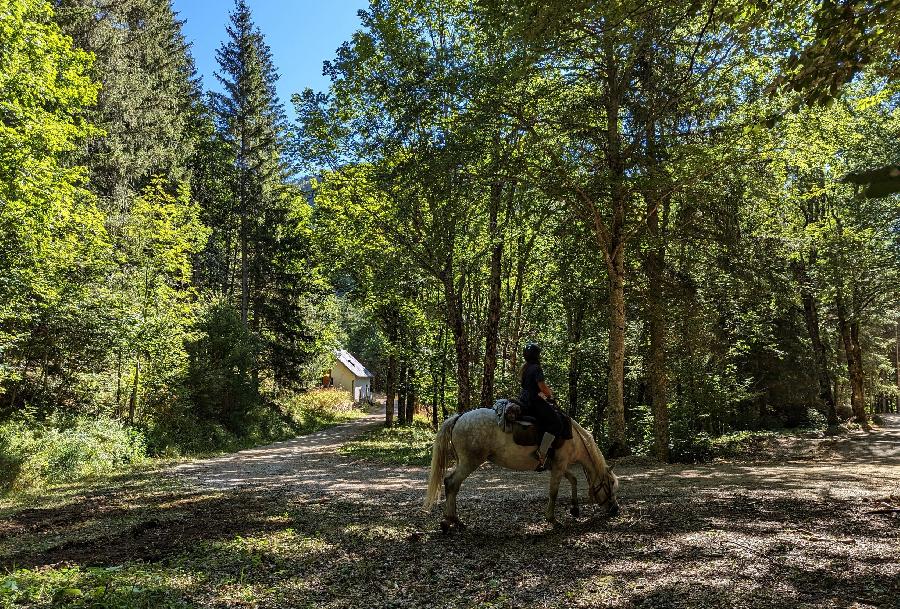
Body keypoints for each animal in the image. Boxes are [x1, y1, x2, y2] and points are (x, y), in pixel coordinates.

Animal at [424, 406, 620, 528]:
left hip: (464, 462)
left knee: (452, 485)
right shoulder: (559, 465)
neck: (573, 438)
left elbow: (573, 479)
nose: (615, 510)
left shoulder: (557, 465)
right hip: (469, 462)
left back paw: (451, 520)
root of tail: (459, 418)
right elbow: (554, 491)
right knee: (451, 483)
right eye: (610, 484)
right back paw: (452, 520)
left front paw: (575, 509)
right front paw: (552, 519)